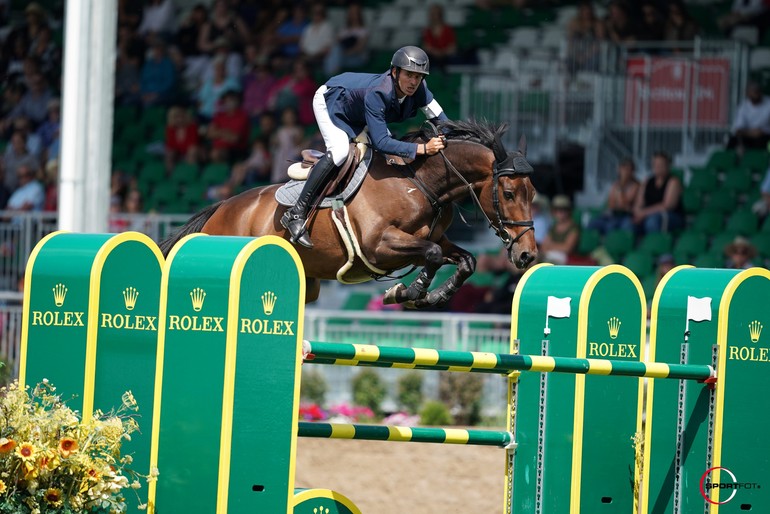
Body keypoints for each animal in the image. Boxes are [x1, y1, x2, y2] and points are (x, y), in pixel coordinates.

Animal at [159, 118, 536, 306]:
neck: (420, 182)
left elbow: (465, 260)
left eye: (533, 194)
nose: (528, 255)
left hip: (309, 286)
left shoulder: (436, 240)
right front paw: (409, 292)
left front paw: (434, 295)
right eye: (508, 193)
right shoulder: (380, 246)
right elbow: (430, 254)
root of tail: (221, 208)